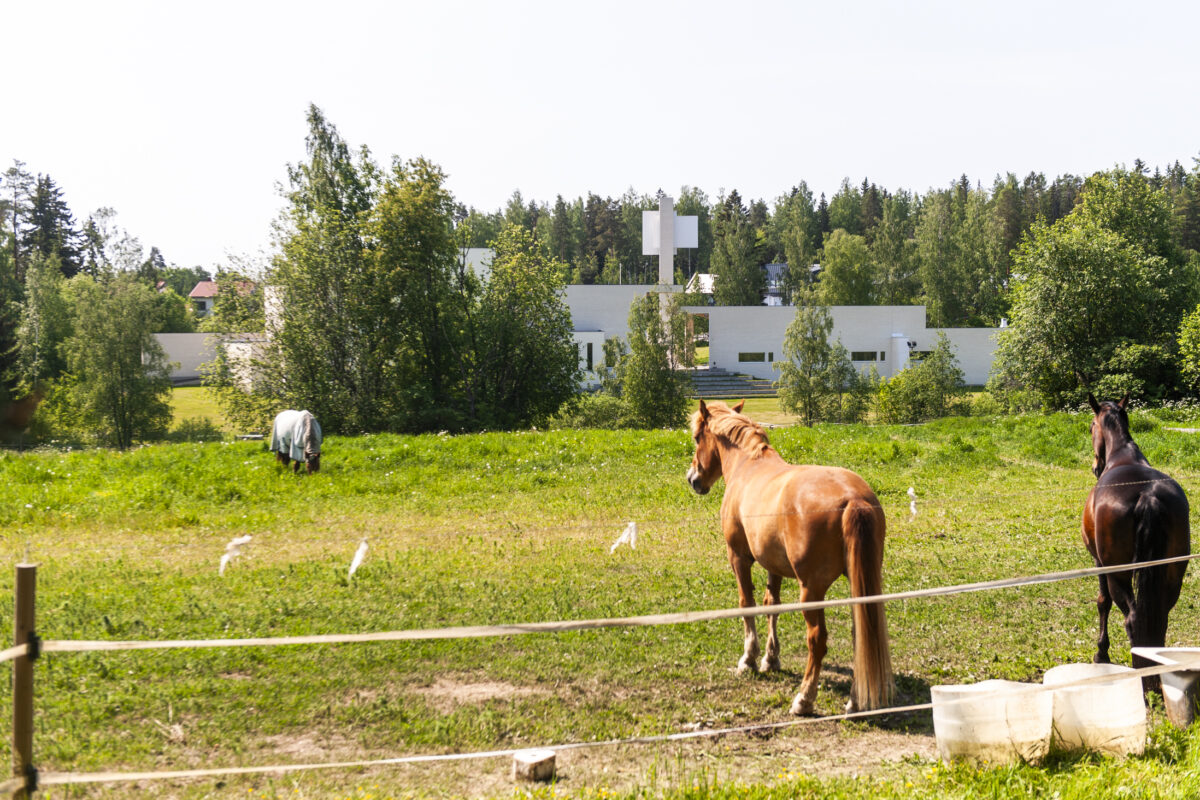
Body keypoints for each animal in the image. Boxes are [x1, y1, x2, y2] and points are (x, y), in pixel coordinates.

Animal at [686, 400, 892, 714]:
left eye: (698, 438)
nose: (693, 479)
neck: (748, 466)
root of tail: (853, 499)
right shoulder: (774, 564)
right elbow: (772, 604)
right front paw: (771, 658)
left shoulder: (738, 558)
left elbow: (747, 603)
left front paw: (748, 659)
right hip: (861, 582)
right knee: (861, 631)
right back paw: (855, 700)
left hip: (811, 590)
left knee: (817, 640)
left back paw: (804, 699)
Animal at [1084, 393, 1185, 690]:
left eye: (1091, 426)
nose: (1095, 466)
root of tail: (1148, 495)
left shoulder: (1099, 562)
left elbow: (1102, 601)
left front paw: (1101, 653)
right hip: (1172, 574)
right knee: (1158, 618)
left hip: (1118, 574)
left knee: (1132, 618)